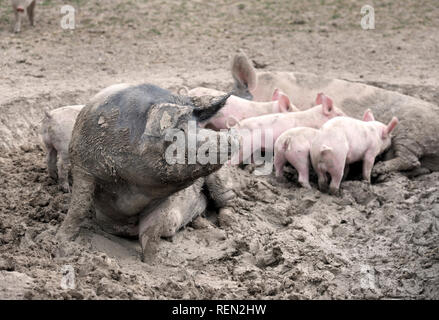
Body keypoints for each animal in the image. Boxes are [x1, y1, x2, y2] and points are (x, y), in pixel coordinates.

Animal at [56, 84, 239, 262]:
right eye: (180, 130)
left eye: (198, 126)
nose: (230, 139)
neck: (131, 187)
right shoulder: (83, 167)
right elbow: (78, 208)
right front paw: (62, 243)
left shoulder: (163, 197)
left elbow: (151, 232)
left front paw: (153, 264)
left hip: (220, 179)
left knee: (227, 201)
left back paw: (229, 226)